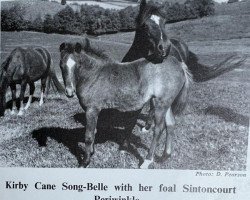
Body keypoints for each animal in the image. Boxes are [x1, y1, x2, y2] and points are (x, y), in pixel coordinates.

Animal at [59, 38, 192, 168]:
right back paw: (165, 156)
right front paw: (91, 152)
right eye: (61, 66)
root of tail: (180, 65)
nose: (69, 92)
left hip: (160, 103)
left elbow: (89, 136)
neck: (94, 75)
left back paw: (147, 161)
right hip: (166, 103)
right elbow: (94, 131)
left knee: (158, 129)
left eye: (78, 65)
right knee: (170, 124)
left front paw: (85, 162)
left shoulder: (92, 109)